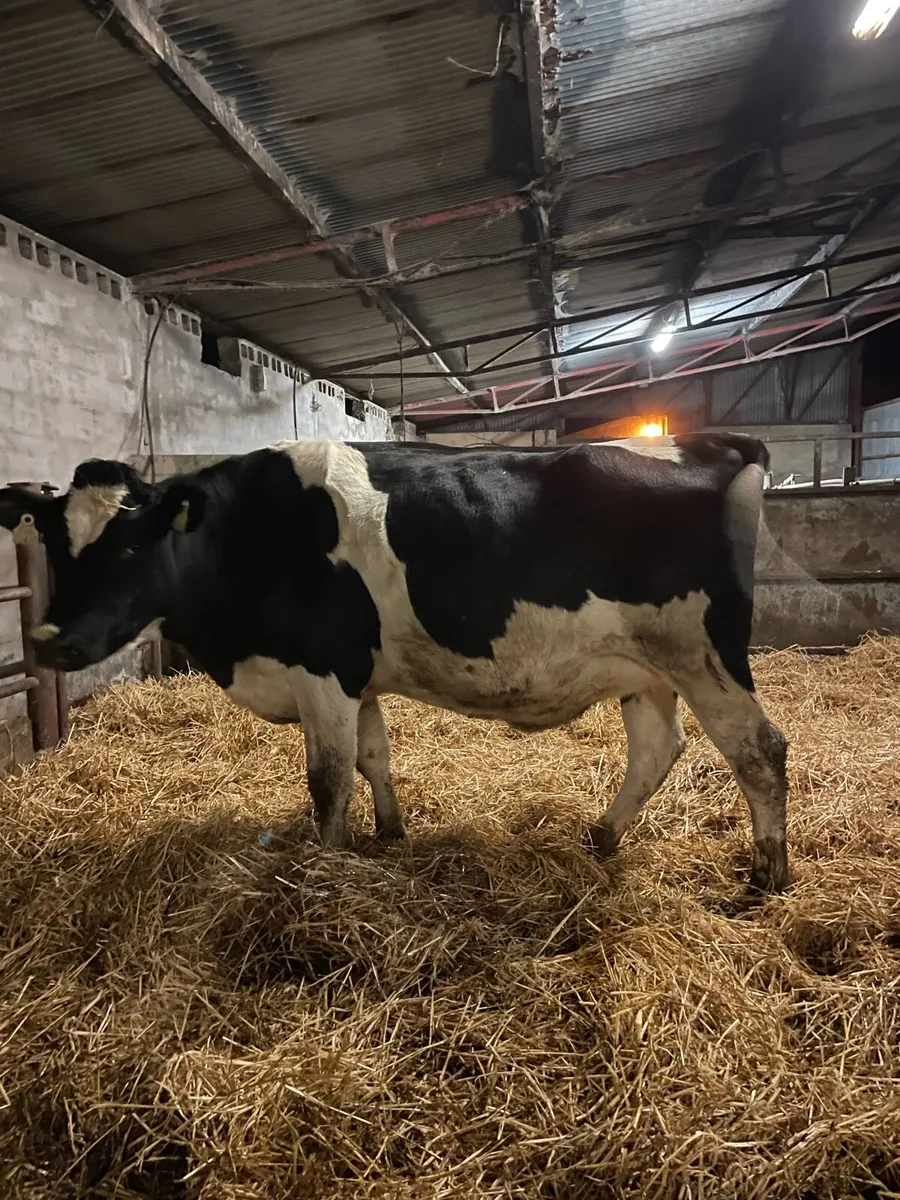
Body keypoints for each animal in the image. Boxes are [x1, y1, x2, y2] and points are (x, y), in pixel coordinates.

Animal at [0, 433, 789, 893]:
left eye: (132, 545)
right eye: (52, 545)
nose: (53, 641)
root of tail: (715, 443)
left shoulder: (321, 671)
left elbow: (327, 782)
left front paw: (326, 865)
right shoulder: (358, 676)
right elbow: (373, 756)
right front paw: (388, 834)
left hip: (704, 654)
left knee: (760, 751)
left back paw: (769, 875)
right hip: (648, 667)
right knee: (659, 748)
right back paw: (602, 836)